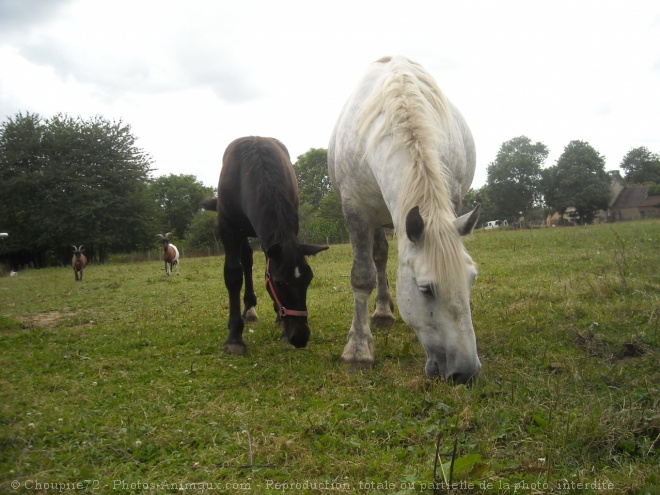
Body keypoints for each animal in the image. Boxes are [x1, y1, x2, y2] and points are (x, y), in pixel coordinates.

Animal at [200, 137, 326, 352]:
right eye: (278, 282)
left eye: (309, 280)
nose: (300, 337)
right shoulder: (228, 228)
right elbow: (233, 275)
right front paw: (234, 338)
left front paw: (282, 325)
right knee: (246, 259)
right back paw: (249, 310)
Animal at [328, 57, 480, 384]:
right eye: (426, 289)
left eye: (471, 279)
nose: (465, 372)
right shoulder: (357, 211)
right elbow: (363, 276)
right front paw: (358, 350)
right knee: (379, 258)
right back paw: (382, 313)